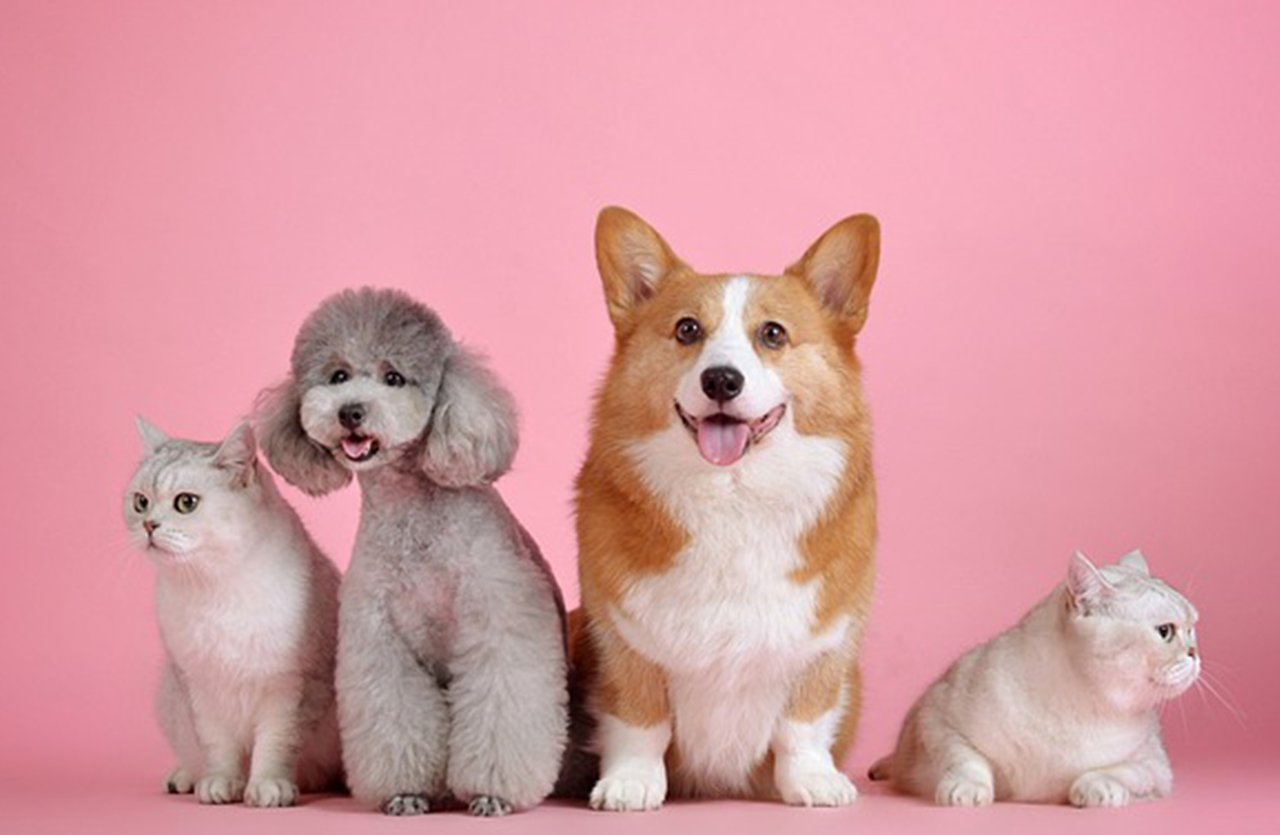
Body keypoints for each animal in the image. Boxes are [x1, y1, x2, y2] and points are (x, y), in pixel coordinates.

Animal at [122, 420, 343, 804]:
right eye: (141, 502)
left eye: (186, 503)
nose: (149, 525)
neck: (214, 587)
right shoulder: (198, 686)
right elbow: (217, 746)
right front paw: (221, 783)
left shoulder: (291, 687)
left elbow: (276, 743)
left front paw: (268, 786)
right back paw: (183, 778)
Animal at [573, 207, 880, 809]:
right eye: (687, 329)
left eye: (773, 334)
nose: (720, 379)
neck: (733, 496)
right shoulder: (619, 638)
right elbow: (640, 718)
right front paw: (630, 784)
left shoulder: (828, 641)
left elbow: (803, 723)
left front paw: (813, 781)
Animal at [870, 550, 1198, 804]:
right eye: (1165, 631)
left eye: (1192, 627)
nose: (1195, 653)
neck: (1081, 705)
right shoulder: (936, 716)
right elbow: (965, 758)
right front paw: (967, 789)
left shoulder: (1155, 767)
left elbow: (1119, 771)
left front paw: (1096, 788)